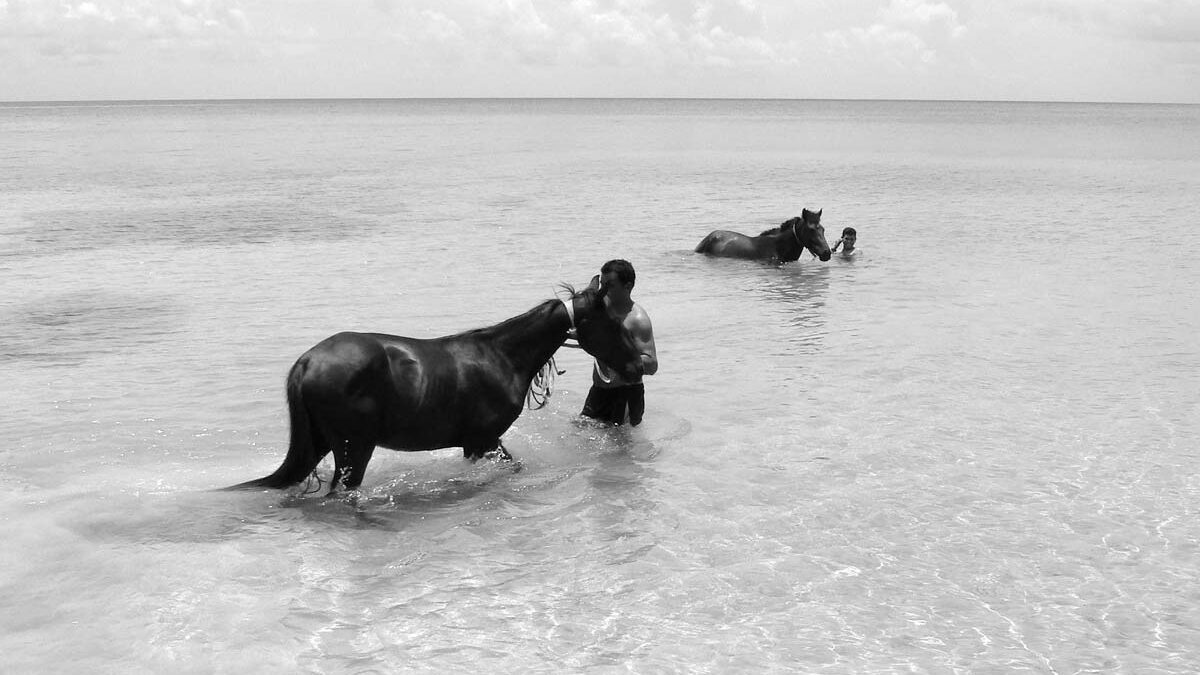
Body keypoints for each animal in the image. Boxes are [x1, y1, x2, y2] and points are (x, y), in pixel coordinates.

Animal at [226, 277, 642, 494]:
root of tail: (309, 360)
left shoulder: (480, 444)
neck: (501, 355)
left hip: (319, 444)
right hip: (352, 448)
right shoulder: (483, 440)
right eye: (611, 322)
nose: (639, 363)